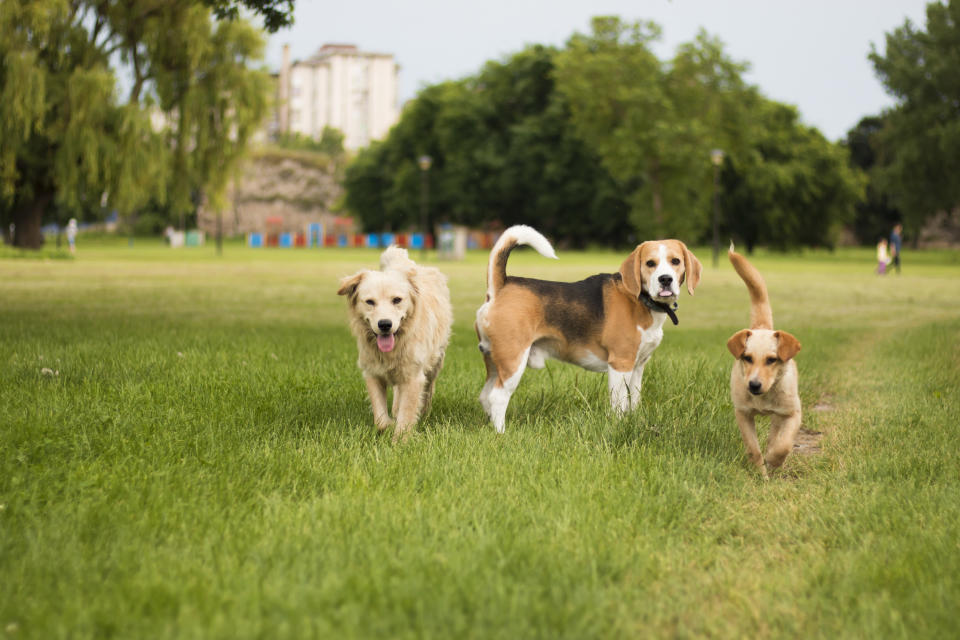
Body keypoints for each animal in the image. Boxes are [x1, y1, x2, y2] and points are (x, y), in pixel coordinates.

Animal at [338, 245, 454, 440]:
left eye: (397, 300)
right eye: (370, 302)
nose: (385, 324)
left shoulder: (413, 377)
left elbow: (407, 414)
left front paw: (400, 441)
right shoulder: (372, 373)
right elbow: (380, 419)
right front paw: (389, 425)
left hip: (435, 362)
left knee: (428, 387)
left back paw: (424, 411)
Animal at [476, 224, 700, 430]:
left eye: (675, 261)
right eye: (650, 263)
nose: (665, 279)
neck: (641, 300)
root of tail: (501, 286)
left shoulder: (638, 365)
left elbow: (634, 399)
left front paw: (634, 421)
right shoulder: (620, 363)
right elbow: (619, 403)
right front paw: (618, 425)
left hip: (495, 361)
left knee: (485, 395)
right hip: (513, 359)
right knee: (497, 397)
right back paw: (501, 433)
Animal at [728, 244, 804, 476]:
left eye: (772, 360)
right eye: (747, 358)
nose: (753, 385)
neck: (764, 397)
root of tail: (762, 326)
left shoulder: (792, 413)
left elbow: (784, 444)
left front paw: (774, 460)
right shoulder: (742, 413)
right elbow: (753, 448)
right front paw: (759, 473)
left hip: (780, 415)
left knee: (775, 436)